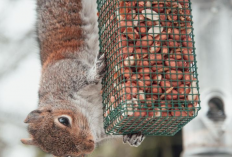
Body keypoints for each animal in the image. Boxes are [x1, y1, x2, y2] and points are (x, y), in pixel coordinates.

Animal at [21, 0, 145, 156]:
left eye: (63, 120)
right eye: (66, 154)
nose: (89, 147)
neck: (88, 107)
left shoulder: (64, 72)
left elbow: (83, 75)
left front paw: (96, 71)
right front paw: (133, 134)